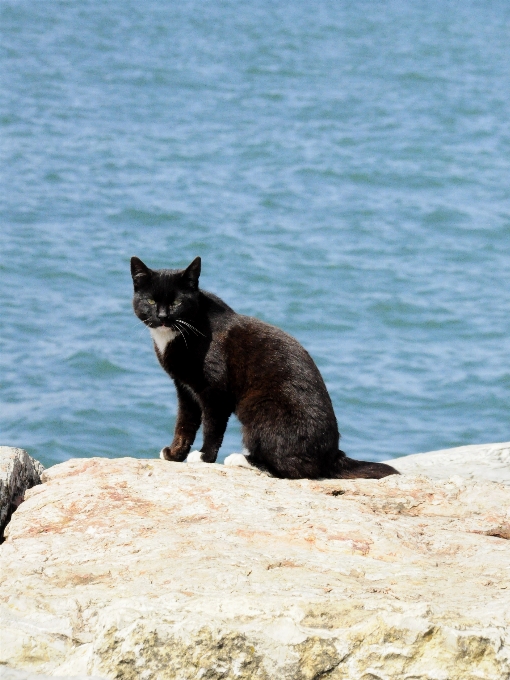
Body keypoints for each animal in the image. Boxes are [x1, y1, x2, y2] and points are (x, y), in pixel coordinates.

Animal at [130, 258, 398, 480]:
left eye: (177, 302)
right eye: (151, 301)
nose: (162, 316)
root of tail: (332, 455)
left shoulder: (215, 391)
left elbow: (212, 426)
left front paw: (204, 457)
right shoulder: (185, 388)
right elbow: (185, 423)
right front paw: (175, 454)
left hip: (260, 406)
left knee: (295, 469)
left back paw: (242, 459)